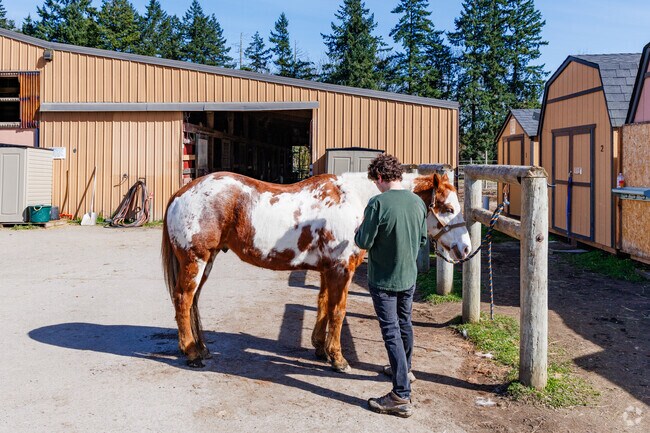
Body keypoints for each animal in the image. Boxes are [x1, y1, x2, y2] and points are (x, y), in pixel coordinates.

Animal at [161, 170, 471, 371]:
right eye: (447, 207)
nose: (465, 249)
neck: (357, 200)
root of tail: (181, 192)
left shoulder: (327, 270)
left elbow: (323, 305)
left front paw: (321, 349)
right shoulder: (341, 269)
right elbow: (338, 310)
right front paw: (338, 358)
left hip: (207, 261)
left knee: (193, 302)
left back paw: (201, 347)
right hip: (196, 260)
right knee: (183, 300)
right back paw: (191, 352)